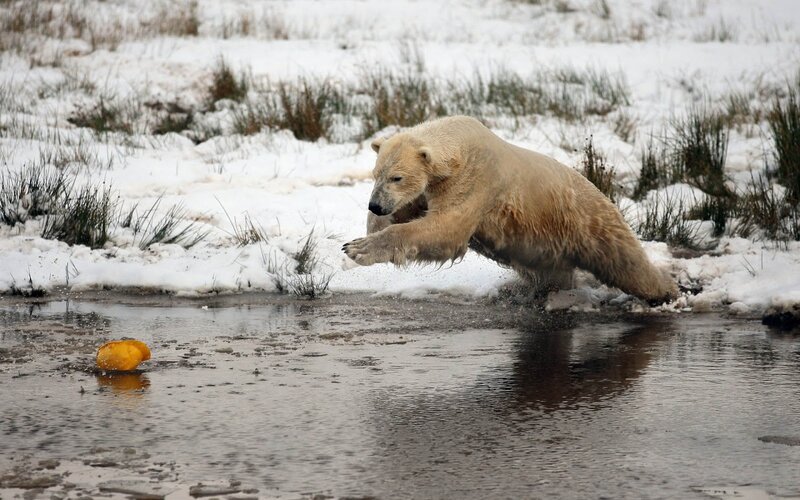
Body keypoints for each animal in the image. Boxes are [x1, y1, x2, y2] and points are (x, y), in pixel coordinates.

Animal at [342, 116, 677, 303]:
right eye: (376, 173)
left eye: (397, 177)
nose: (376, 204)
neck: (459, 144)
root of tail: (605, 198)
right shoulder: (431, 187)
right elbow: (410, 211)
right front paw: (366, 234)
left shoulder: (475, 180)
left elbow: (446, 230)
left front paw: (357, 249)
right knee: (553, 273)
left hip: (590, 223)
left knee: (626, 263)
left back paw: (668, 291)